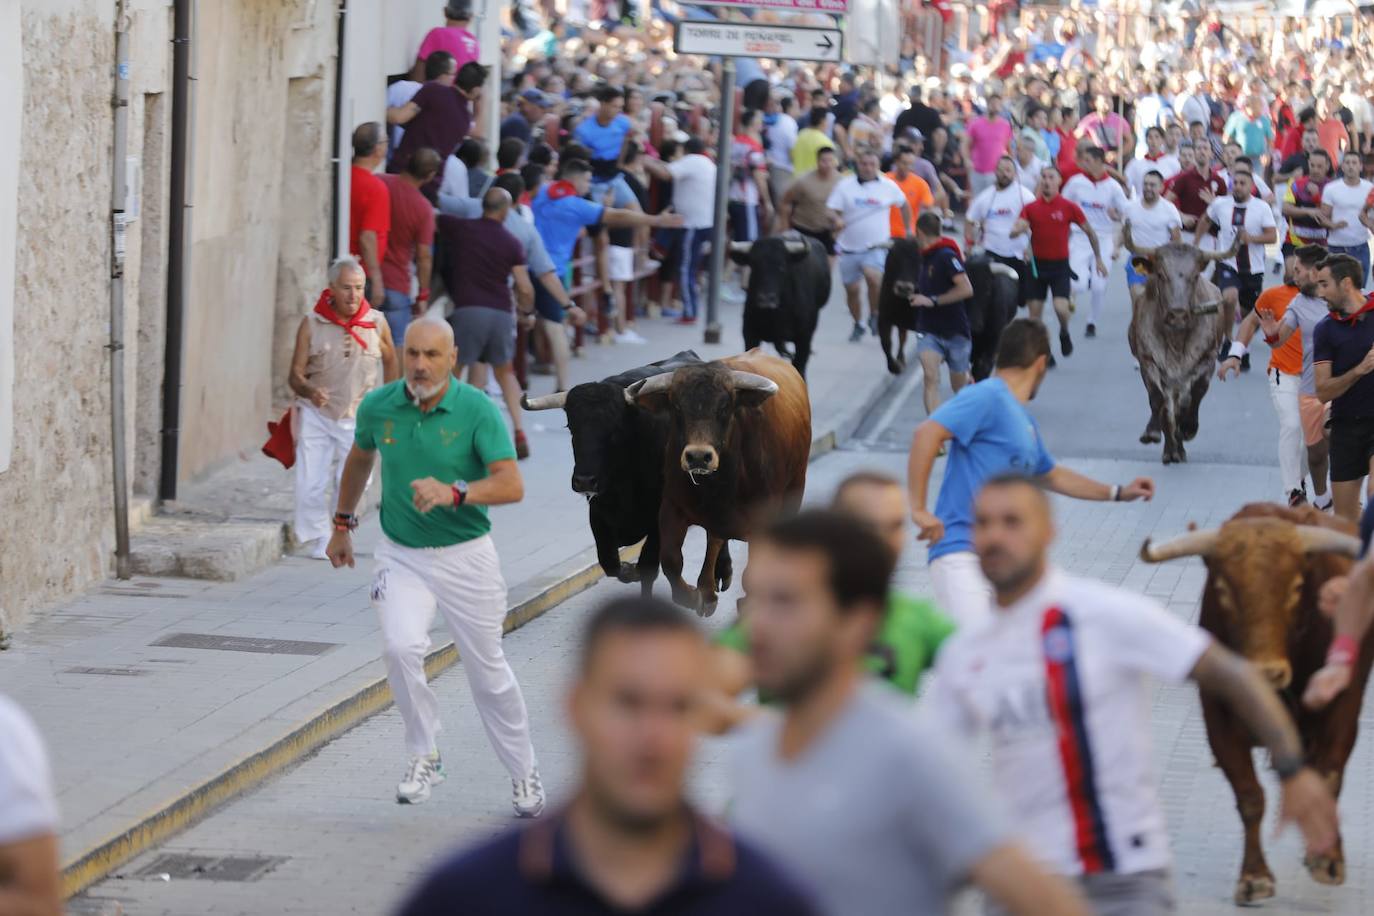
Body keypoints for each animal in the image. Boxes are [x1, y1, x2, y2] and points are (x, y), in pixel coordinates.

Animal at [516, 351, 730, 596]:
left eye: (615, 428)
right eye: (571, 427)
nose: (584, 480)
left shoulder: (659, 520)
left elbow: (648, 567)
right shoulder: (598, 515)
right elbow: (609, 562)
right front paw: (628, 570)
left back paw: (722, 572)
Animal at [629, 351, 807, 615]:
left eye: (725, 407)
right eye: (677, 406)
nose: (698, 456)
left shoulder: (763, 520)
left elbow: (753, 573)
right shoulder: (672, 507)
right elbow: (671, 560)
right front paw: (692, 596)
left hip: (796, 486)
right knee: (714, 538)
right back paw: (706, 589)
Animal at [879, 240, 1022, 379]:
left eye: (987, 290)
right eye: (894, 258)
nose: (904, 287)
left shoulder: (990, 345)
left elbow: (980, 370)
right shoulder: (884, 317)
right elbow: (886, 342)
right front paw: (895, 366)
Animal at [1121, 225, 1242, 461]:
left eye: (1194, 275)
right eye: (1160, 274)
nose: (1177, 314)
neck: (1176, 343)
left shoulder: (1207, 360)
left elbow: (1194, 396)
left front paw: (1188, 429)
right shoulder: (1148, 361)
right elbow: (1158, 400)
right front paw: (1156, 435)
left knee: (1181, 402)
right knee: (1168, 406)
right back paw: (1170, 448)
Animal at [1137, 505, 1374, 906]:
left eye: (1297, 587)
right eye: (1222, 588)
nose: (1266, 672)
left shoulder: (1344, 706)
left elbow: (1329, 776)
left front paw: (1327, 859)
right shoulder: (1218, 718)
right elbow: (1249, 796)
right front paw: (1254, 876)